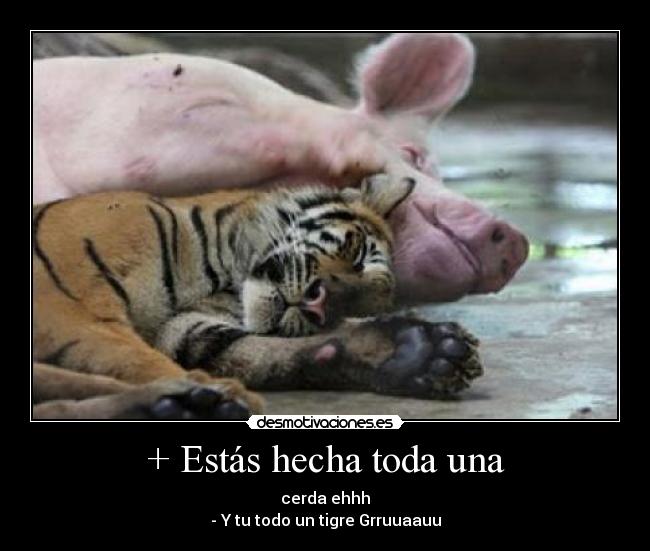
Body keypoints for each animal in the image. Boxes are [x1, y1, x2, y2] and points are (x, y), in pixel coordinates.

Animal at [33, 174, 483, 420]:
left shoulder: (182, 328)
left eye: (354, 306)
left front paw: (416, 353)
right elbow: (131, 356)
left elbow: (262, 351)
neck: (221, 278)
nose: (321, 305)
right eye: (356, 256)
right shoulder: (64, 305)